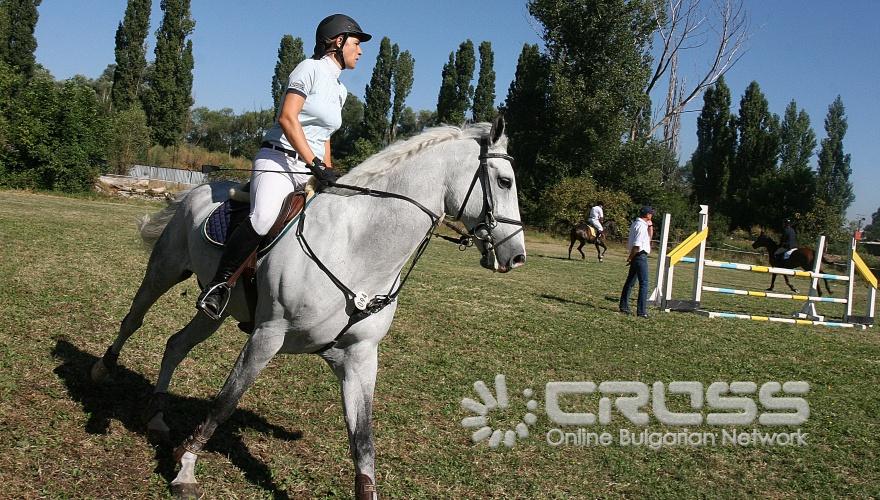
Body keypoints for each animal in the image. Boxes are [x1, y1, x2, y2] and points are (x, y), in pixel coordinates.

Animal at [93, 118, 524, 500]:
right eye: (504, 181)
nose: (516, 257)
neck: (359, 251)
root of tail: (197, 191)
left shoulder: (359, 357)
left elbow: (363, 441)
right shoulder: (267, 337)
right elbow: (224, 403)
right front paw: (185, 472)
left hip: (214, 312)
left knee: (176, 344)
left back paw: (157, 417)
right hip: (164, 271)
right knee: (134, 318)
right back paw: (103, 371)